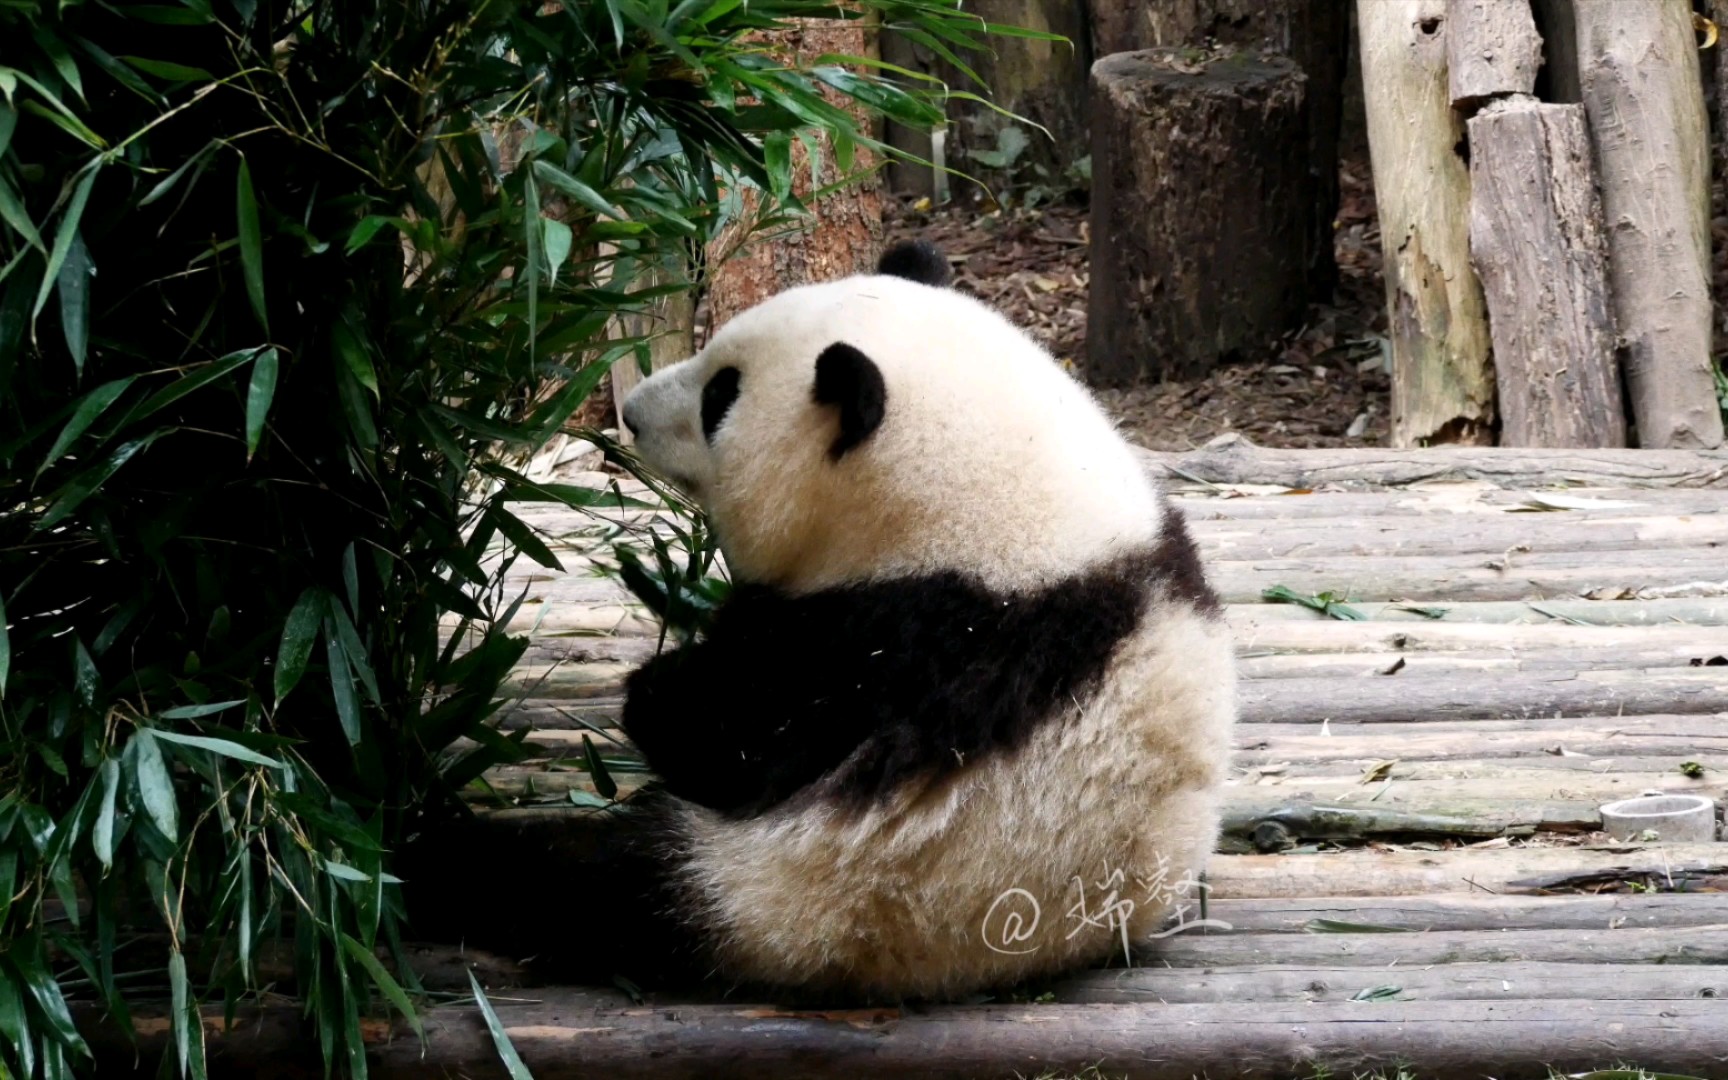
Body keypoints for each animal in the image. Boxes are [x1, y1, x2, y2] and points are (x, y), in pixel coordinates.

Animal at [411, 240, 1237, 995]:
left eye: (720, 398)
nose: (633, 412)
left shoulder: (905, 644)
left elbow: (727, 737)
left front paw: (663, 683)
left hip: (786, 887)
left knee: (588, 884)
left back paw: (435, 848)